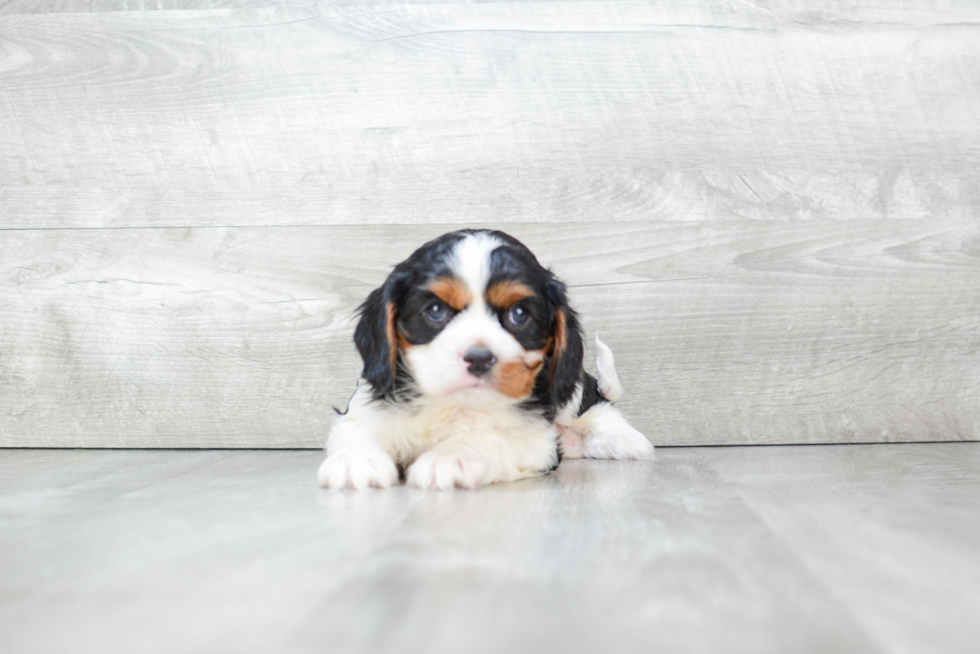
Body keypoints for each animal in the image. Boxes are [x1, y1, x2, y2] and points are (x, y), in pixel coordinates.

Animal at [318, 231, 656, 492]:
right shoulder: (366, 406)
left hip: (572, 394)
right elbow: (357, 431)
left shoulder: (535, 439)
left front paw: (450, 458)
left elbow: (487, 438)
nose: (479, 358)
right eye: (436, 310)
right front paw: (356, 461)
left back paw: (624, 439)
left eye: (519, 314)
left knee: (597, 403)